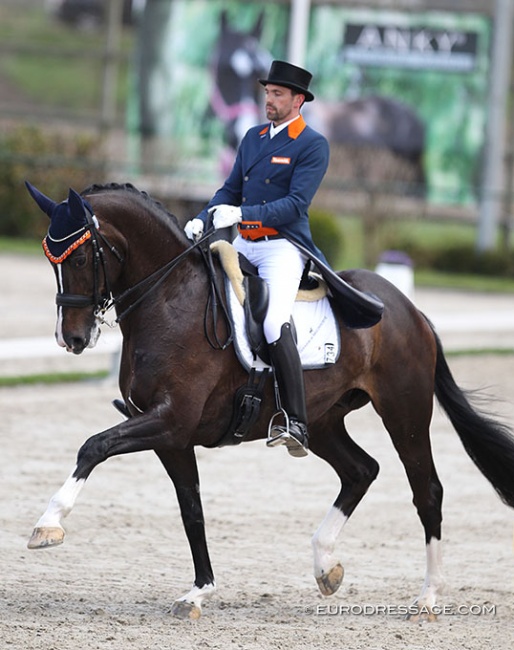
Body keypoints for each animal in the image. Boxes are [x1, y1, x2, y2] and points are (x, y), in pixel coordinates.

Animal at [26, 181, 512, 616]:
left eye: (82, 255)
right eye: (51, 260)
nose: (71, 339)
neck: (169, 299)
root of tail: (408, 309)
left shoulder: (170, 421)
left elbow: (94, 446)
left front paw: (48, 525)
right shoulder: (171, 437)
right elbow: (191, 509)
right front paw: (199, 592)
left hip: (404, 412)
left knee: (426, 490)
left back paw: (427, 598)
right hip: (322, 421)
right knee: (360, 470)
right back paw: (325, 566)